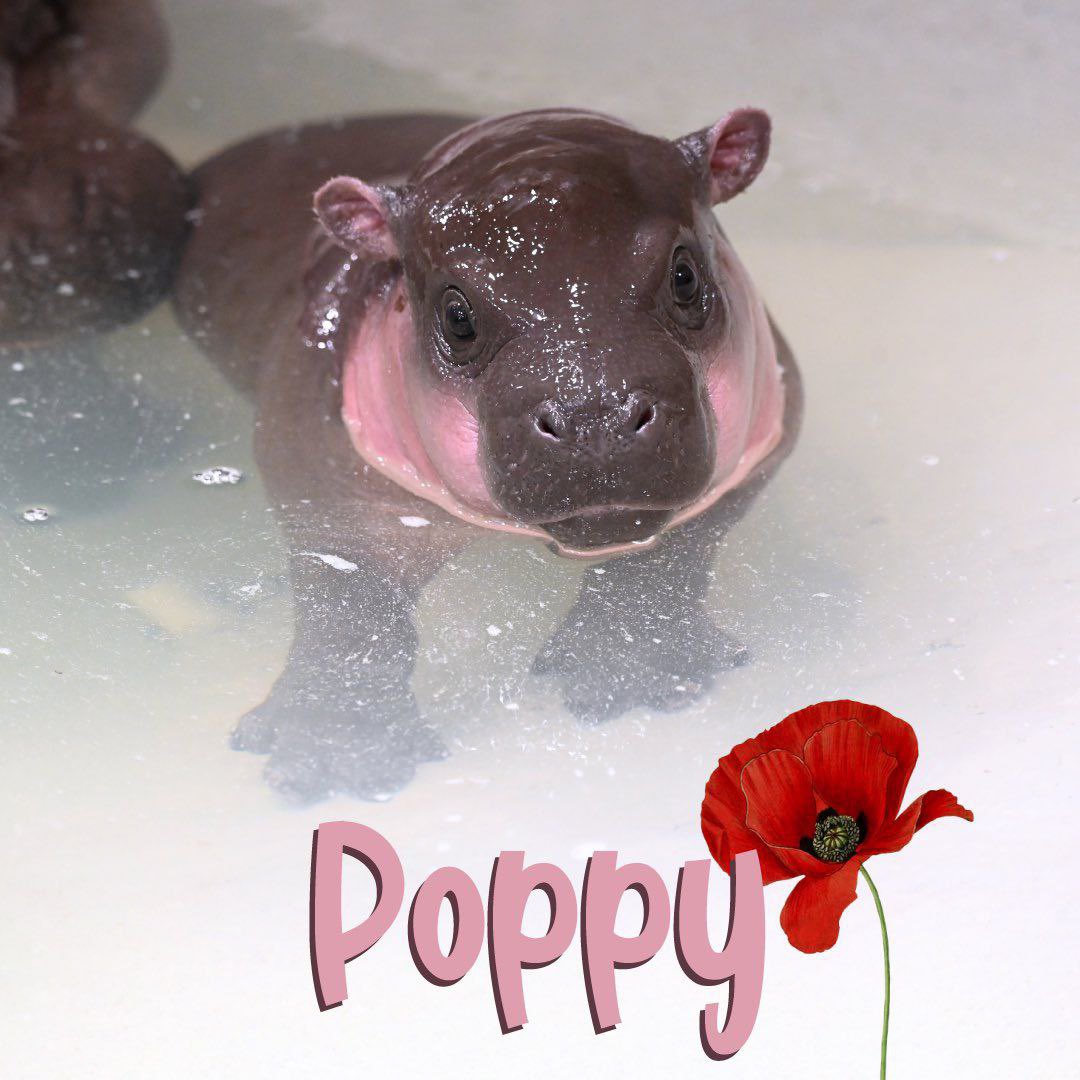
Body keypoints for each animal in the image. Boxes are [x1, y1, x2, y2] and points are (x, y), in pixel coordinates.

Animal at [173, 108, 803, 801]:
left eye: (685, 275)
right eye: (457, 315)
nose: (595, 419)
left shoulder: (763, 441)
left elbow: (674, 555)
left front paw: (633, 670)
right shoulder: (325, 484)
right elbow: (348, 603)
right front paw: (336, 751)